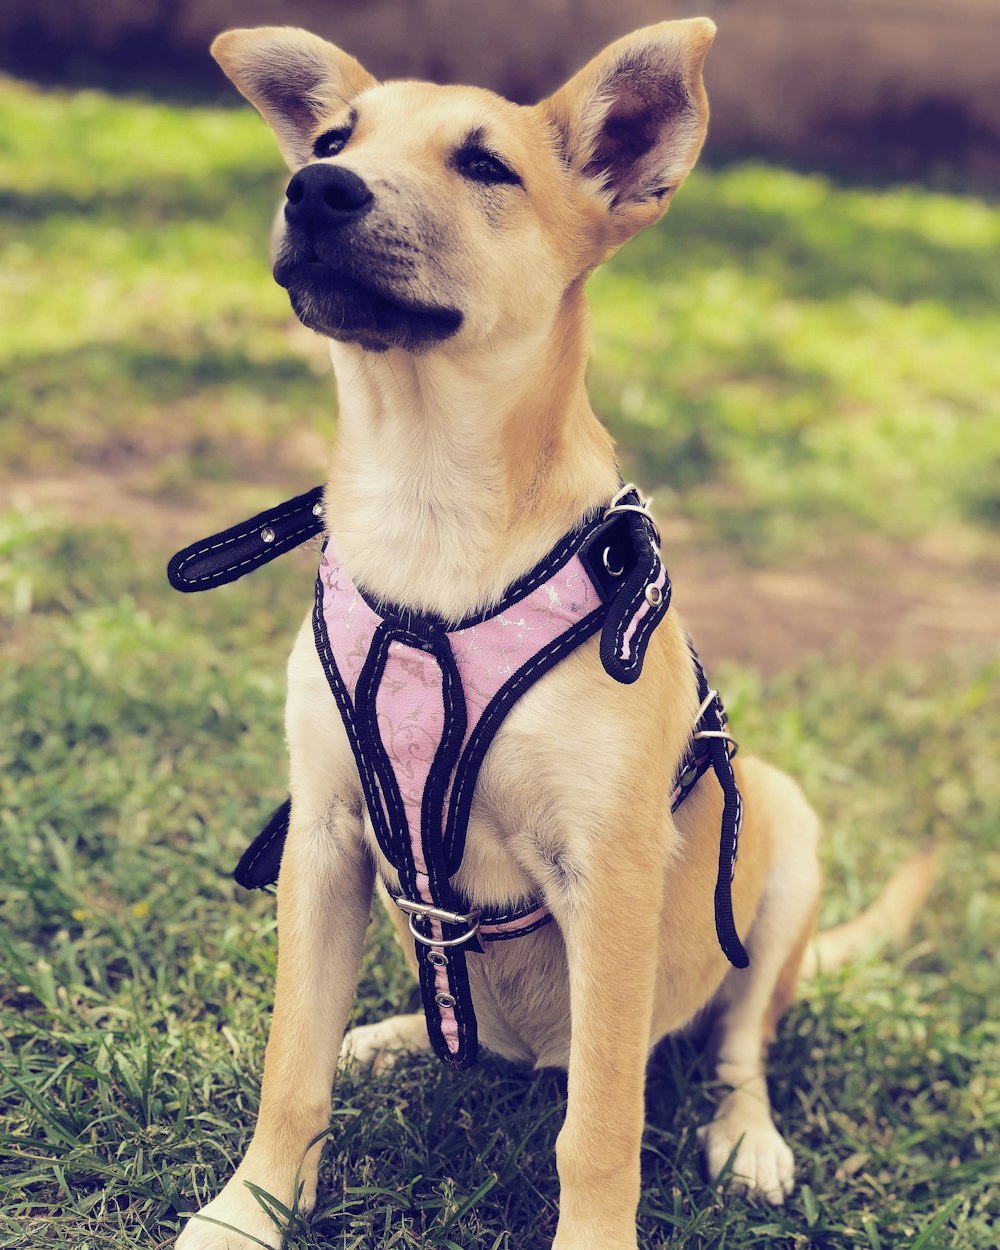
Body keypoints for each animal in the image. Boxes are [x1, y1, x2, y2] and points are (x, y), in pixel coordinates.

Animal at [173, 22, 940, 1250]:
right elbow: (290, 1068)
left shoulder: (609, 872)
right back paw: (396, 1036)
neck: (430, 504)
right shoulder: (325, 838)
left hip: (780, 835)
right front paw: (248, 1212)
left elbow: (601, 1125)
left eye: (486, 166)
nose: (317, 189)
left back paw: (746, 1134)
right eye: (334, 140)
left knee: (736, 1043)